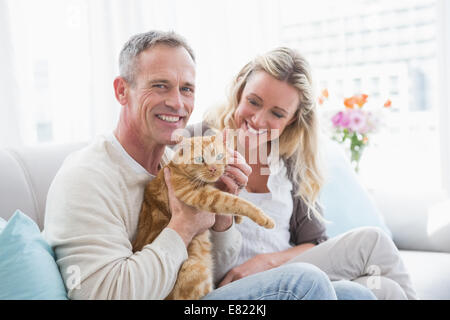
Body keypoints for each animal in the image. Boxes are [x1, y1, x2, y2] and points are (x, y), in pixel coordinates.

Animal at [131, 134, 274, 298]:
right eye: (200, 159)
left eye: (219, 156)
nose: (213, 169)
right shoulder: (202, 196)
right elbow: (235, 202)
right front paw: (264, 218)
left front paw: (238, 218)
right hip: (195, 267)